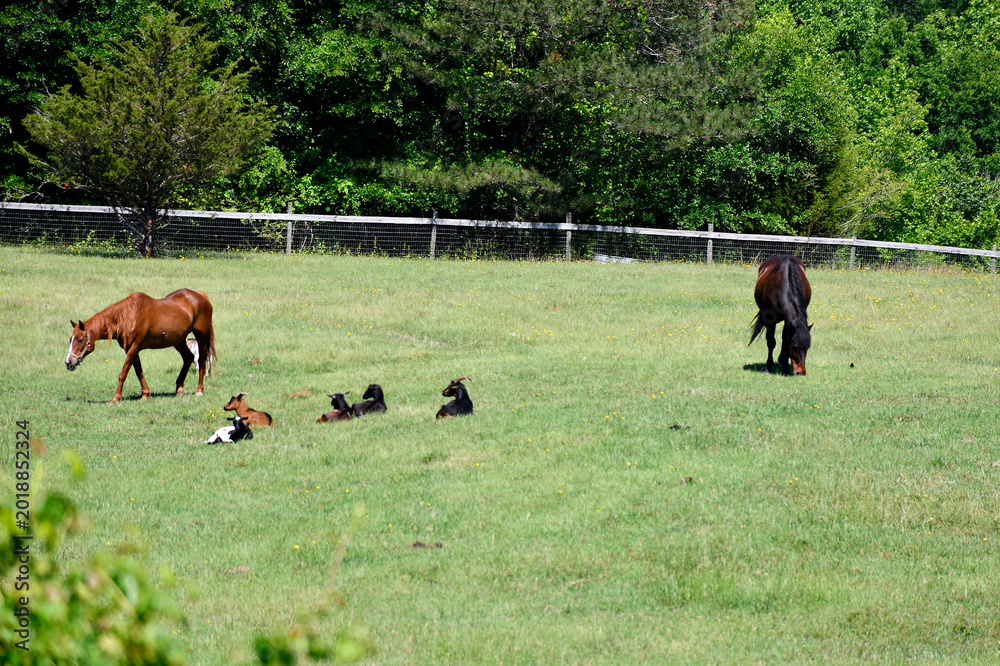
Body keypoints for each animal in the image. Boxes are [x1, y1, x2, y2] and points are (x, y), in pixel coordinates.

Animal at [65, 289, 216, 402]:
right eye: (70, 339)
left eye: (80, 340)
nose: (68, 362)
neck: (129, 316)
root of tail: (200, 296)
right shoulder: (131, 349)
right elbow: (138, 371)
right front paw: (145, 394)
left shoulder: (134, 347)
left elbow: (123, 373)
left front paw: (116, 398)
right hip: (178, 340)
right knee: (188, 358)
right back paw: (179, 389)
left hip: (201, 336)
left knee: (201, 361)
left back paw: (199, 390)